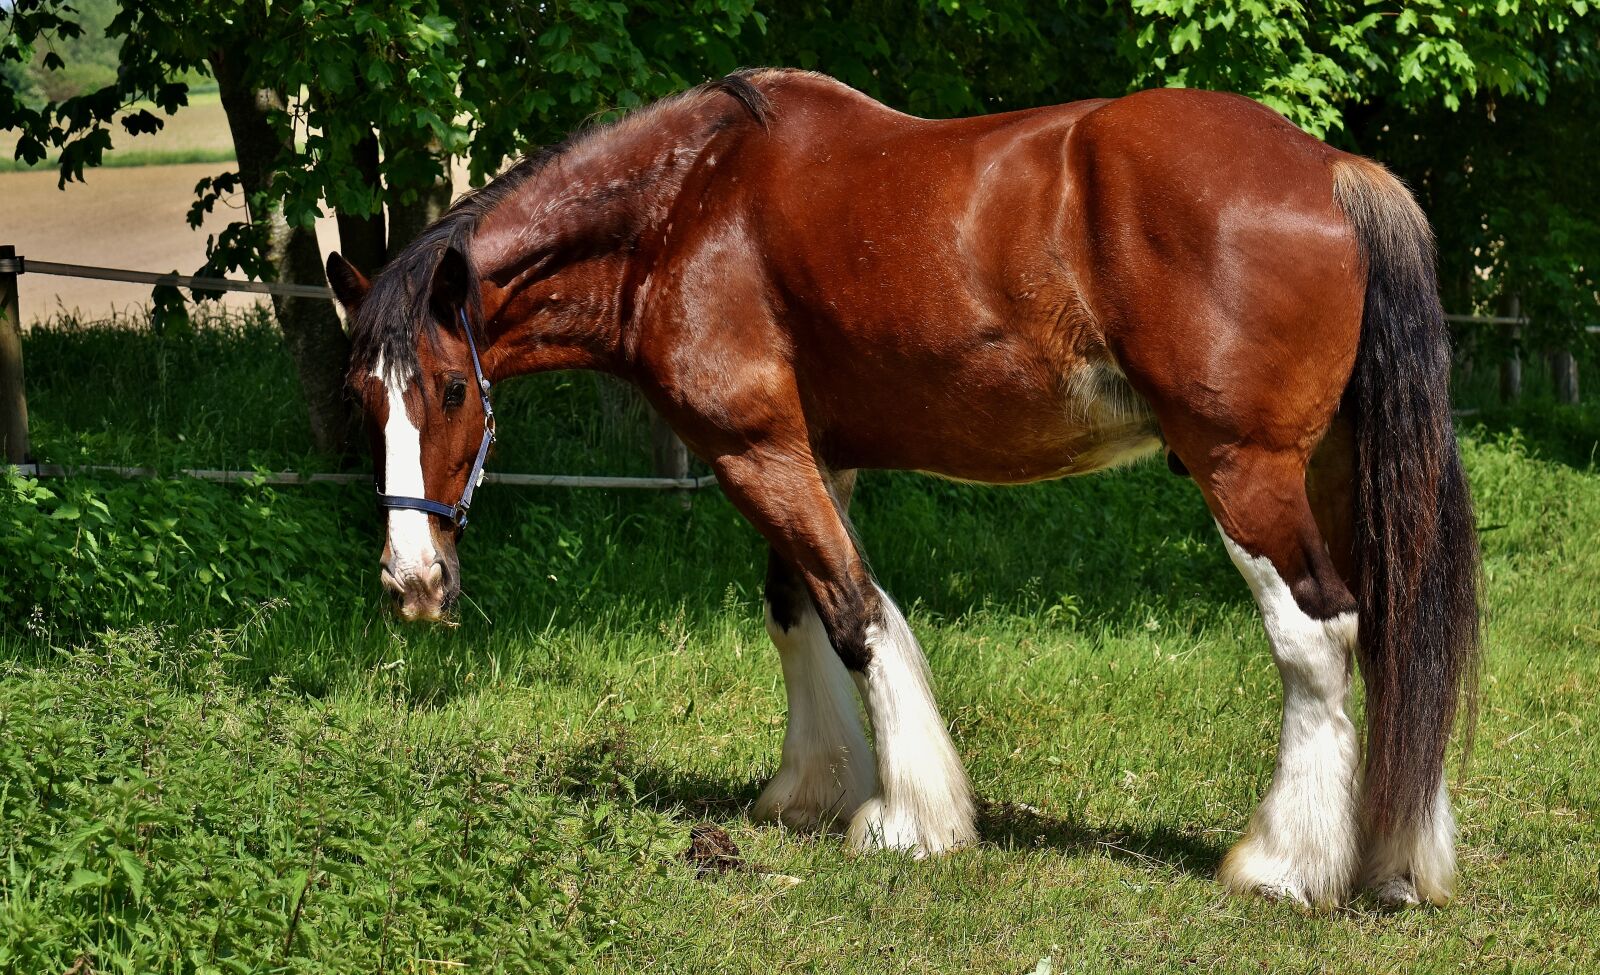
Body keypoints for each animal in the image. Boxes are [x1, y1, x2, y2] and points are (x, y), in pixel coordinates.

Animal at [327, 68, 1478, 909]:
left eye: (447, 389)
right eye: (362, 397)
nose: (411, 582)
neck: (684, 208)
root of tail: (1330, 169)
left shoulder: (754, 448)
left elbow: (852, 614)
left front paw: (908, 820)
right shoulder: (804, 452)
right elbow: (792, 608)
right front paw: (808, 788)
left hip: (1242, 471)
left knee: (1317, 637)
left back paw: (1286, 865)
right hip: (1333, 471)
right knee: (1387, 634)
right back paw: (1393, 860)